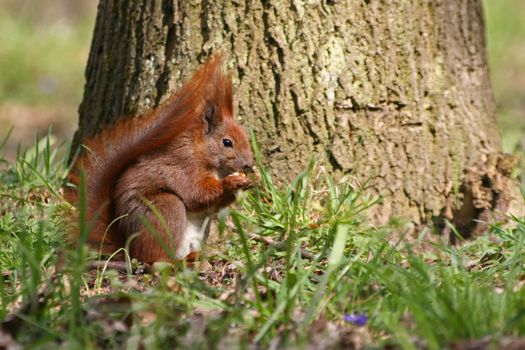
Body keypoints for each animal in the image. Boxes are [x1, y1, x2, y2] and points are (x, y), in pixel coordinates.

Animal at [64, 54, 253, 262]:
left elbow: (210, 205)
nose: (249, 165)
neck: (201, 151)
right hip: (165, 209)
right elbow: (195, 194)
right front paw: (231, 183)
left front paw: (244, 184)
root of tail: (130, 249)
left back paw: (194, 256)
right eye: (227, 142)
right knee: (156, 259)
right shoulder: (184, 166)